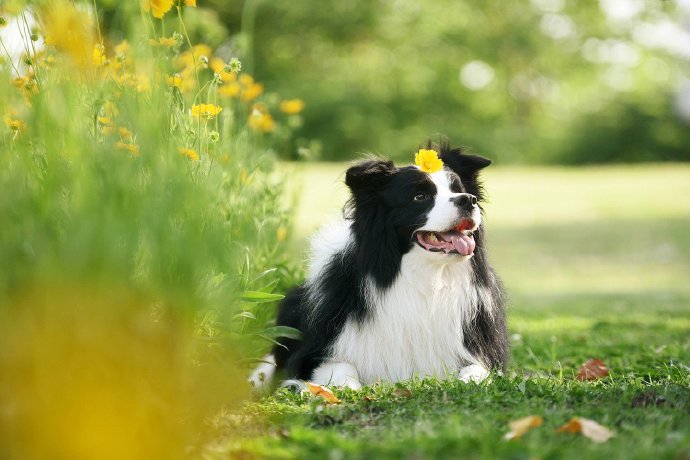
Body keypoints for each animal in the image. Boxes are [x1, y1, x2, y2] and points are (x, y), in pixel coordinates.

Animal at [250, 142, 508, 390]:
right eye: (420, 197)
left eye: (458, 189)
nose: (468, 200)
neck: (427, 280)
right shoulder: (311, 355)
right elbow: (340, 368)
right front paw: (343, 389)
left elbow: (477, 370)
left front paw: (468, 381)